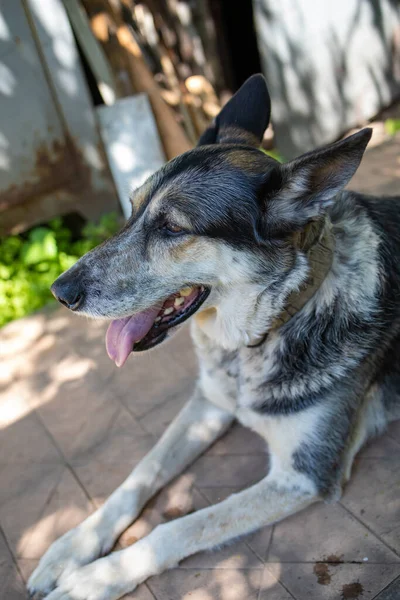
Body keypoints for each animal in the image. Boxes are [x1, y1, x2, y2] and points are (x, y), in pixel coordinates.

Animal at [28, 76, 400, 600]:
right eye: (132, 210)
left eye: (171, 227)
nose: (60, 293)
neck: (263, 333)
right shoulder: (208, 403)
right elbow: (142, 471)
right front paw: (72, 546)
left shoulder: (303, 474)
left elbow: (180, 527)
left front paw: (93, 580)